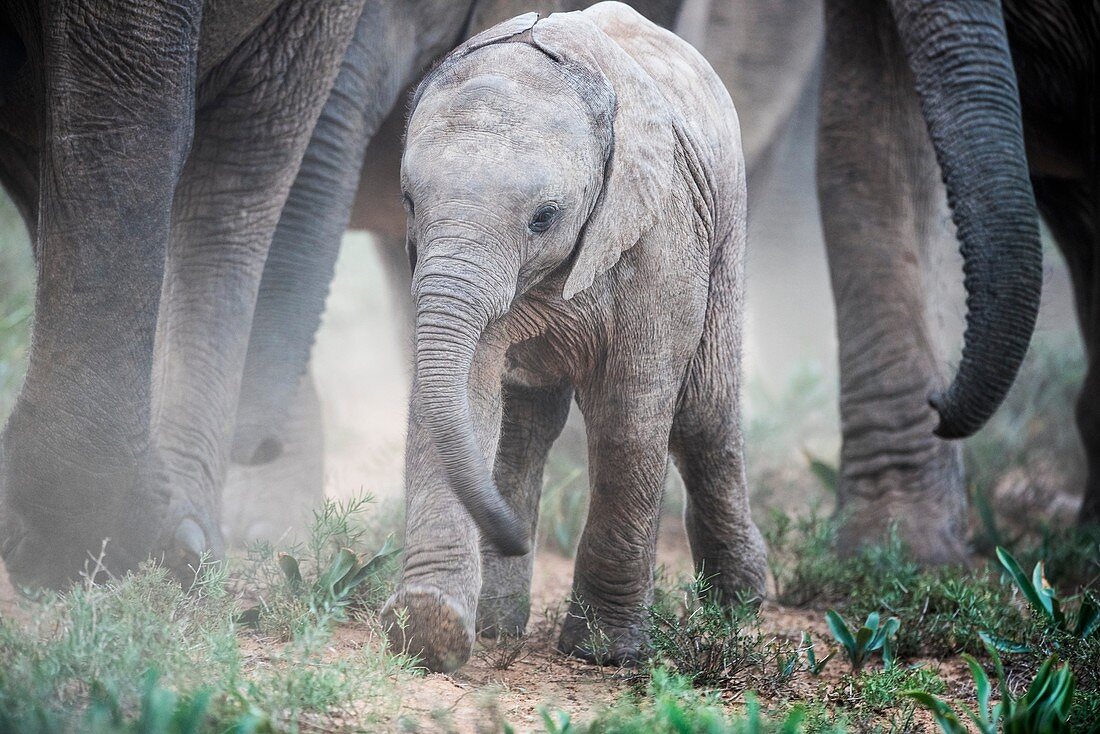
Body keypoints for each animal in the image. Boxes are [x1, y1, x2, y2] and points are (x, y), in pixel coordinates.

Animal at [378, 2, 765, 673]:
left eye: (545, 217)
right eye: (408, 200)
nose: (505, 535)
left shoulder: (659, 235)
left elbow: (630, 414)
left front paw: (605, 654)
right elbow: (464, 397)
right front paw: (430, 631)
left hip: (726, 227)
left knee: (702, 414)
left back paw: (741, 606)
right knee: (527, 425)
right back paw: (499, 626)